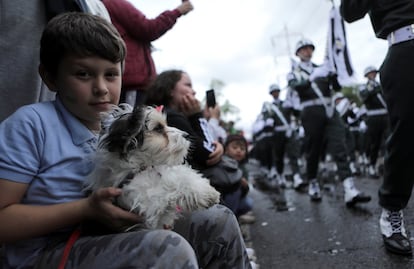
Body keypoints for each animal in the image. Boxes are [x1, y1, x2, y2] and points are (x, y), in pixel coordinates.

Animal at [83, 103, 220, 229]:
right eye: (158, 128)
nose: (186, 135)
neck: (142, 167)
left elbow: (180, 175)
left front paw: (207, 192)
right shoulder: (146, 203)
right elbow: (167, 188)